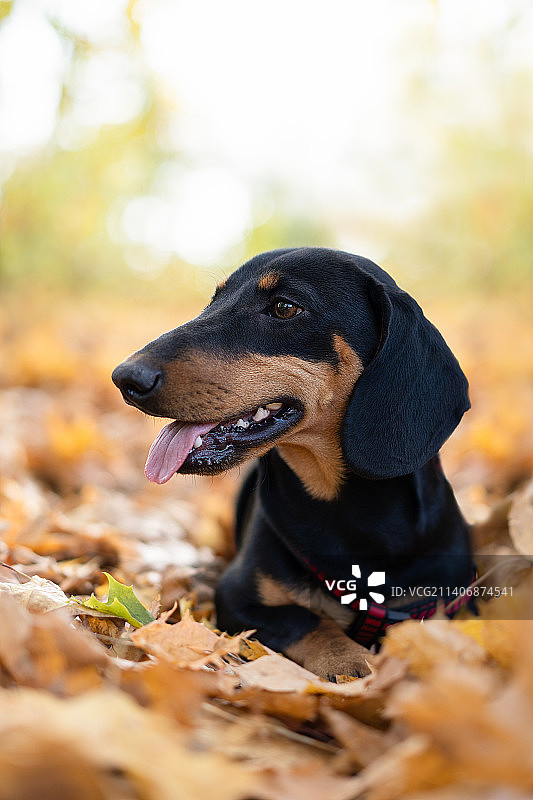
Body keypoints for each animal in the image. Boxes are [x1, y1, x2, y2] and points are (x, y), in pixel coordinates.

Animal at [112, 247, 470, 680]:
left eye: (285, 308)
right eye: (213, 301)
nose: (125, 378)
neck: (344, 509)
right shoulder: (239, 597)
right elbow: (311, 622)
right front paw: (352, 665)